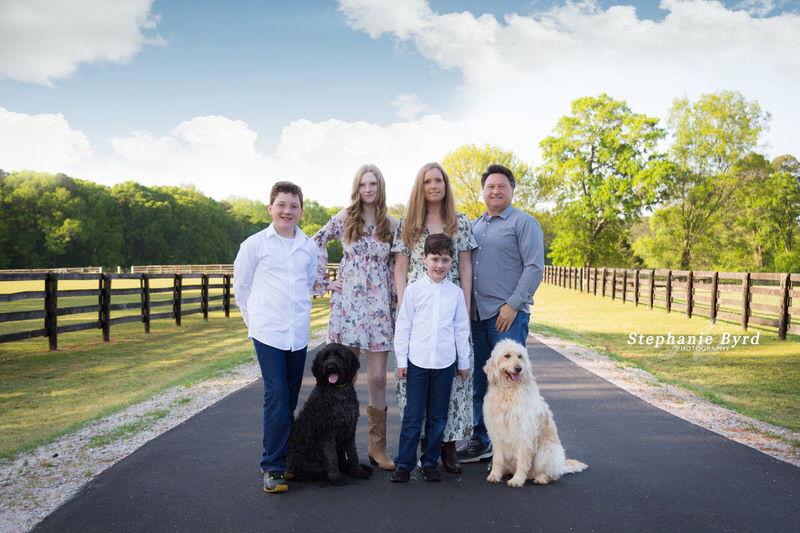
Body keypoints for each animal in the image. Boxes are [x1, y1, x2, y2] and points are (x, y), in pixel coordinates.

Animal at [286, 342, 374, 484]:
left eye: (339, 355)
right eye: (326, 356)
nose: (330, 366)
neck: (338, 392)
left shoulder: (349, 429)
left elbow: (353, 454)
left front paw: (358, 472)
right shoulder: (327, 432)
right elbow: (331, 457)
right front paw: (336, 478)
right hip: (300, 461)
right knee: (313, 472)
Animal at [482, 338, 588, 484]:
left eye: (520, 356)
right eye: (507, 355)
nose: (519, 368)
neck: (508, 390)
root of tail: (561, 465)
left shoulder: (524, 433)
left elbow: (522, 461)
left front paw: (517, 480)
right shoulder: (497, 432)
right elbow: (497, 459)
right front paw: (495, 475)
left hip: (547, 452)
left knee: (552, 474)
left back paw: (541, 478)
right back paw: (505, 471)